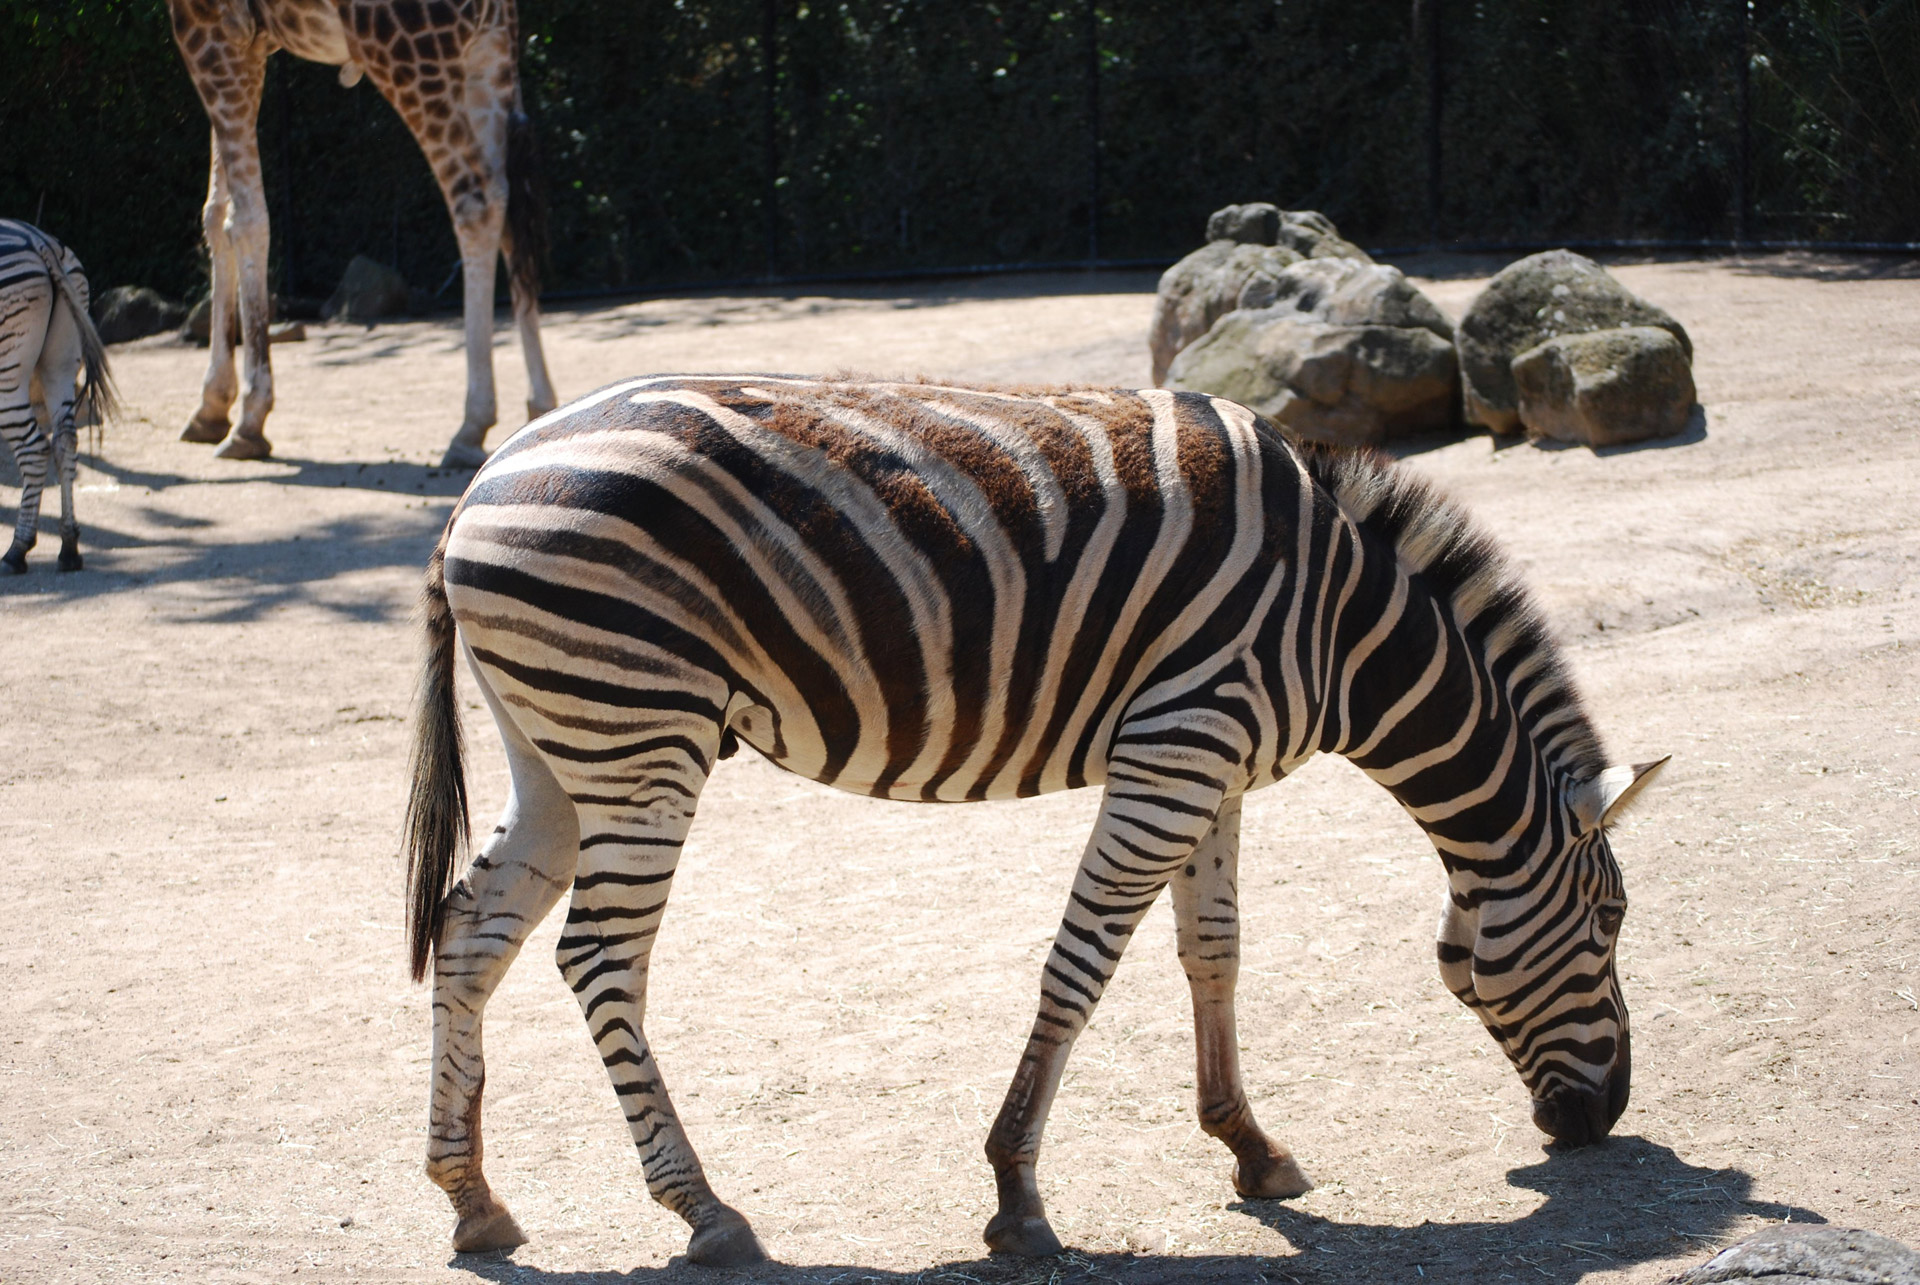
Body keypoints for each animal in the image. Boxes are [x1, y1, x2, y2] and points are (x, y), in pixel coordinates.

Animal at [0, 220, 116, 572]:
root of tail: (40, 242)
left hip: (8, 370)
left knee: (34, 449)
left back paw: (17, 550)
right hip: (61, 363)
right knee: (65, 441)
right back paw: (69, 547)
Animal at [164, 0, 556, 468]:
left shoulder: (210, 29)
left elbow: (245, 219)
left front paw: (249, 420)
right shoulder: (251, 44)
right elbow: (215, 214)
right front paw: (210, 408)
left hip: (409, 55)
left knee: (475, 203)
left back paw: (471, 425)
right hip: (488, 56)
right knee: (508, 201)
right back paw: (541, 406)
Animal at [405, 372, 1666, 1260]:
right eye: (1612, 923)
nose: (1605, 1117)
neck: (1342, 624)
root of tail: (482, 483)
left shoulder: (1213, 759)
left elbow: (1214, 949)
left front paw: (1250, 1146)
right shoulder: (1177, 745)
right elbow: (1083, 962)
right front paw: (1016, 1191)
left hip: (562, 746)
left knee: (469, 932)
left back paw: (473, 1200)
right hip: (640, 736)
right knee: (598, 960)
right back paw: (703, 1209)